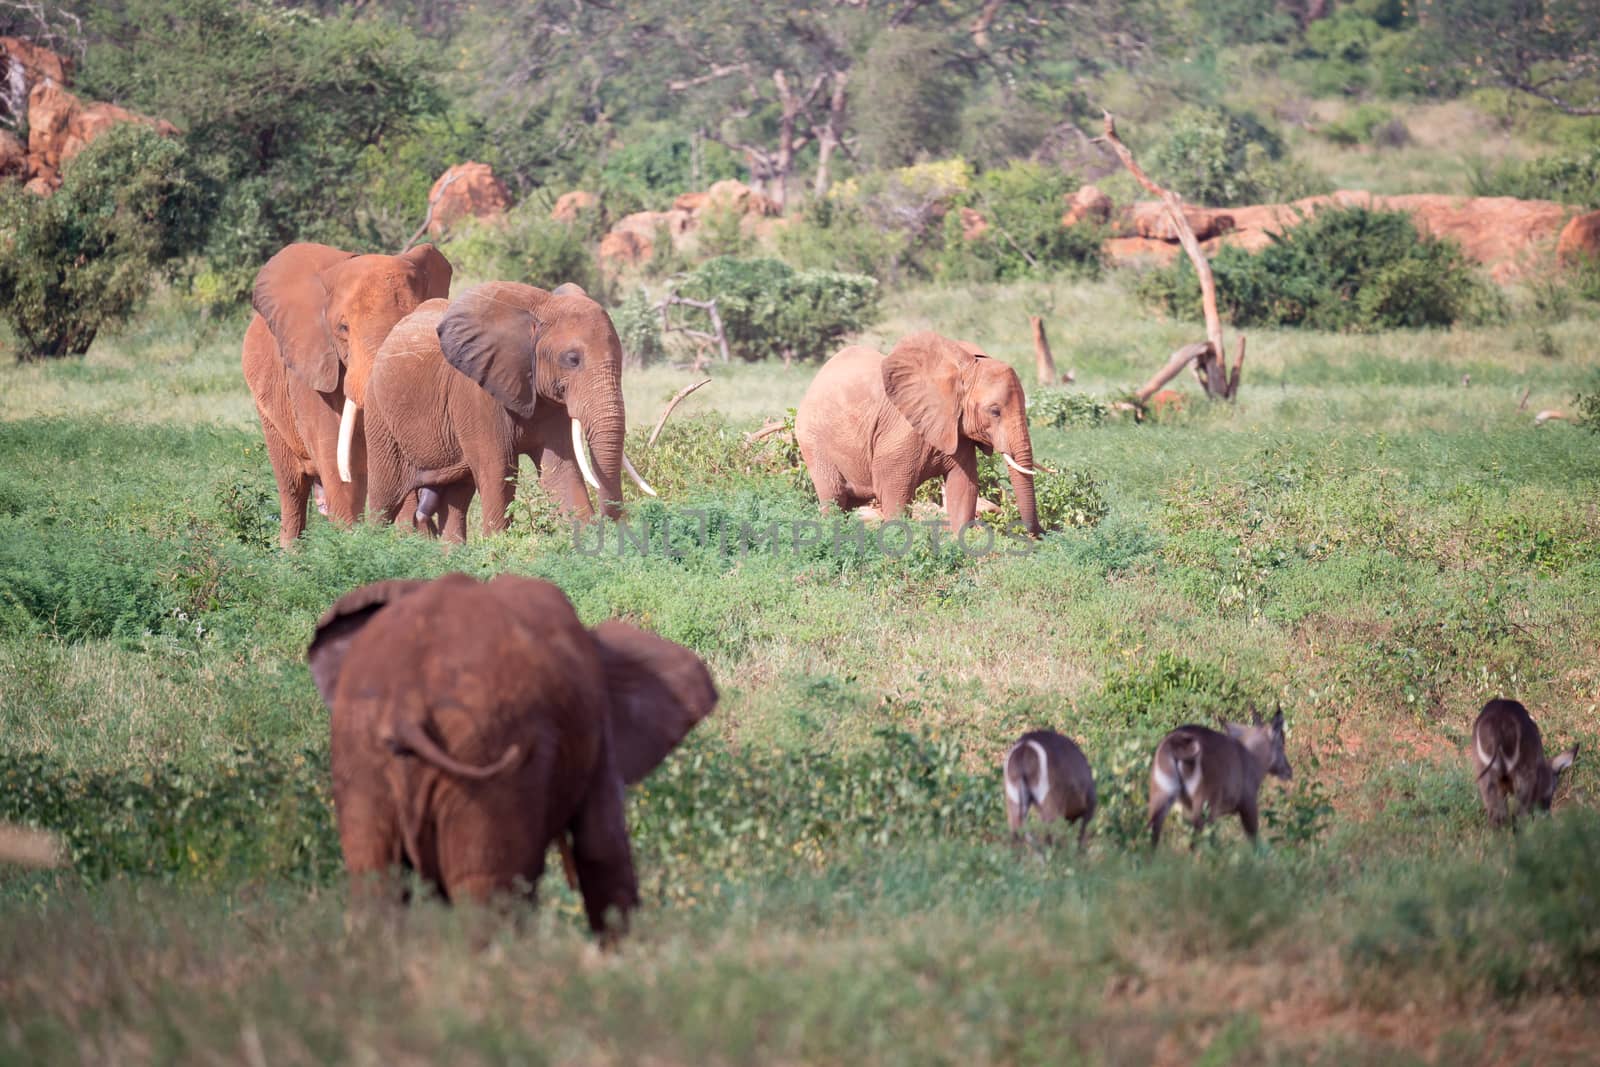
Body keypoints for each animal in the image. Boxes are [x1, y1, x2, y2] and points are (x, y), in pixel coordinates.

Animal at [307, 572, 720, 940]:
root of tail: (407, 702)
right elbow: (602, 849)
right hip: (485, 752)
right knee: (486, 894)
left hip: (364, 749)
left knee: (375, 883)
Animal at [363, 281, 656, 543]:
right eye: (572, 360)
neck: (540, 311)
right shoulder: (475, 395)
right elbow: (498, 473)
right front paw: (498, 549)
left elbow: (560, 471)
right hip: (379, 417)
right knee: (384, 498)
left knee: (457, 499)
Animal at [793, 331, 1043, 534]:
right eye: (995, 411)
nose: (1037, 534)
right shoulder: (902, 431)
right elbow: (894, 492)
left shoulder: (955, 430)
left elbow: (963, 488)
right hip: (812, 441)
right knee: (833, 497)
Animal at [1145, 710, 1292, 851]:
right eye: (1282, 743)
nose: (1289, 771)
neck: (1250, 757)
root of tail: (1177, 742)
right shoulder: (1248, 803)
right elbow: (1254, 839)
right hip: (1205, 805)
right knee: (1198, 839)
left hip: (1161, 796)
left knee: (1152, 833)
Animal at [1465, 697, 1580, 831]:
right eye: (1552, 788)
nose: (1547, 814)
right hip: (1522, 778)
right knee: (1517, 816)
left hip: (1485, 775)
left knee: (1497, 817)